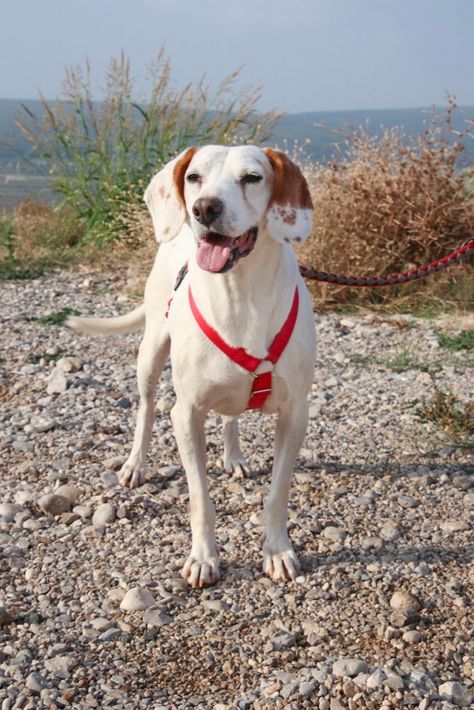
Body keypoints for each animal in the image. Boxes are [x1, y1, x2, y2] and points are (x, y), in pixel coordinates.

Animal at [68, 145, 316, 587]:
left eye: (252, 177)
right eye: (193, 177)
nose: (204, 209)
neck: (241, 295)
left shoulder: (295, 413)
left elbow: (278, 492)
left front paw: (277, 551)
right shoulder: (186, 414)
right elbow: (200, 497)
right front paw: (203, 558)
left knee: (231, 416)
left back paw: (234, 456)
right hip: (150, 352)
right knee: (147, 408)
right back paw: (135, 465)